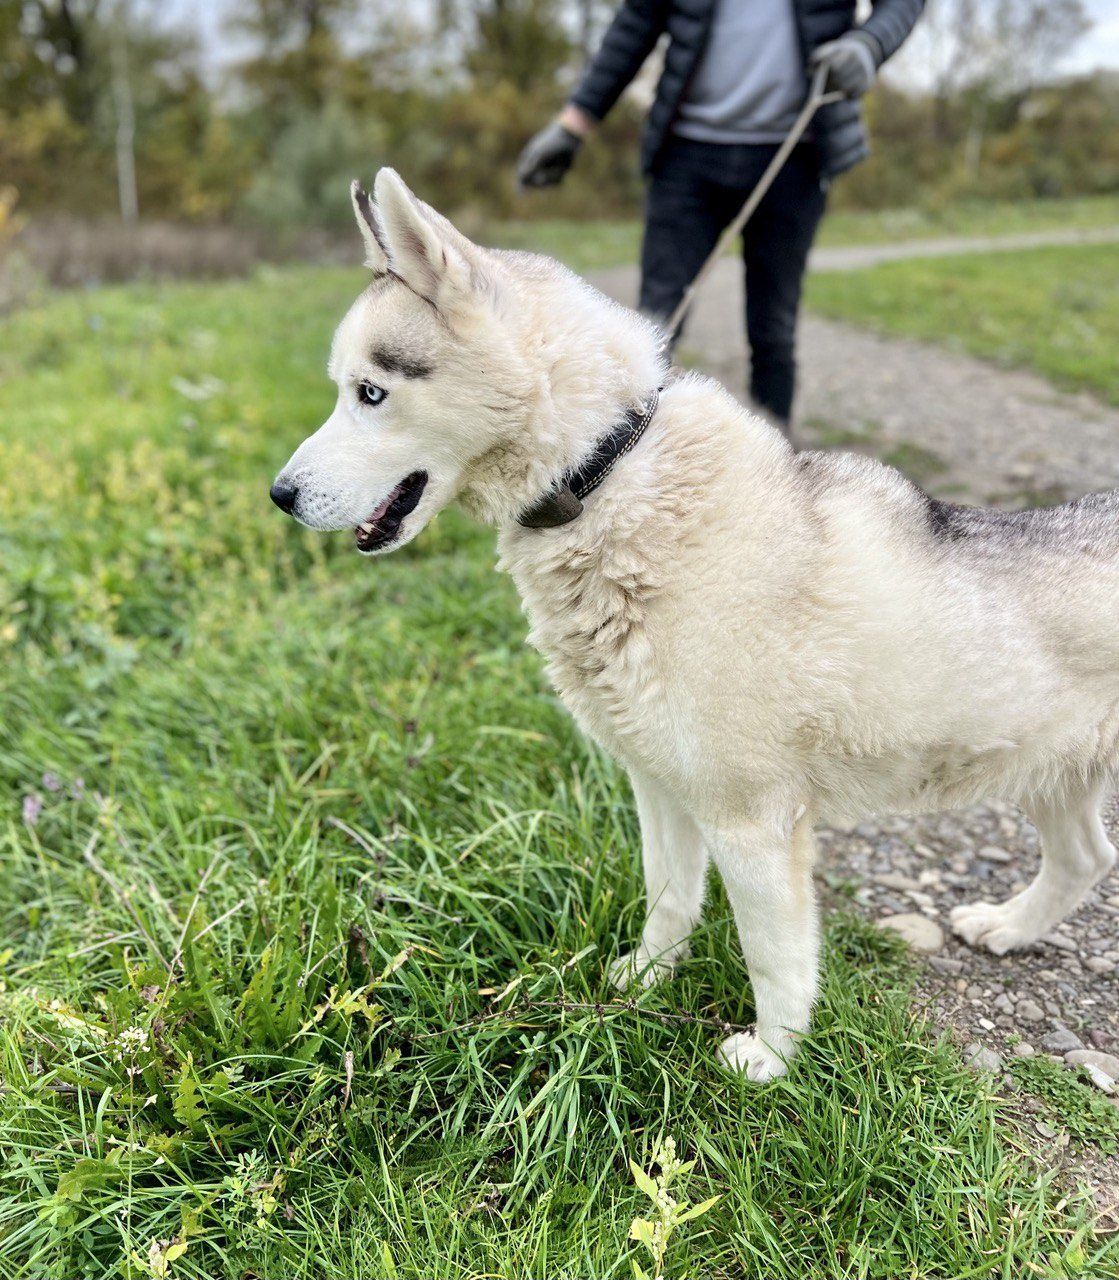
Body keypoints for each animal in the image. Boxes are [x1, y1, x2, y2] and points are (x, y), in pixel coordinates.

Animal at [272, 170, 1116, 1080]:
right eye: (345, 388)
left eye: (370, 393)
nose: (279, 496)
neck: (603, 477)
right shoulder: (659, 784)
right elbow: (669, 898)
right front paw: (642, 984)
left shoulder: (751, 821)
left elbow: (773, 955)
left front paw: (773, 1060)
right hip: (1050, 773)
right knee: (1085, 858)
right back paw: (1008, 928)